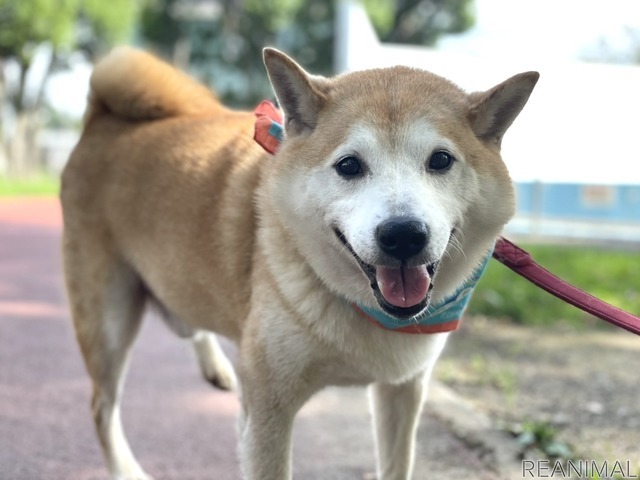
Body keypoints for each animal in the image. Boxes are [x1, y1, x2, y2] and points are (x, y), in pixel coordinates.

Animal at [61, 46, 540, 480]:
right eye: (349, 165)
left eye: (440, 160)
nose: (403, 234)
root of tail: (102, 118)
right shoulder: (268, 410)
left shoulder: (402, 389)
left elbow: (397, 465)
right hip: (108, 322)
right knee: (101, 407)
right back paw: (126, 468)